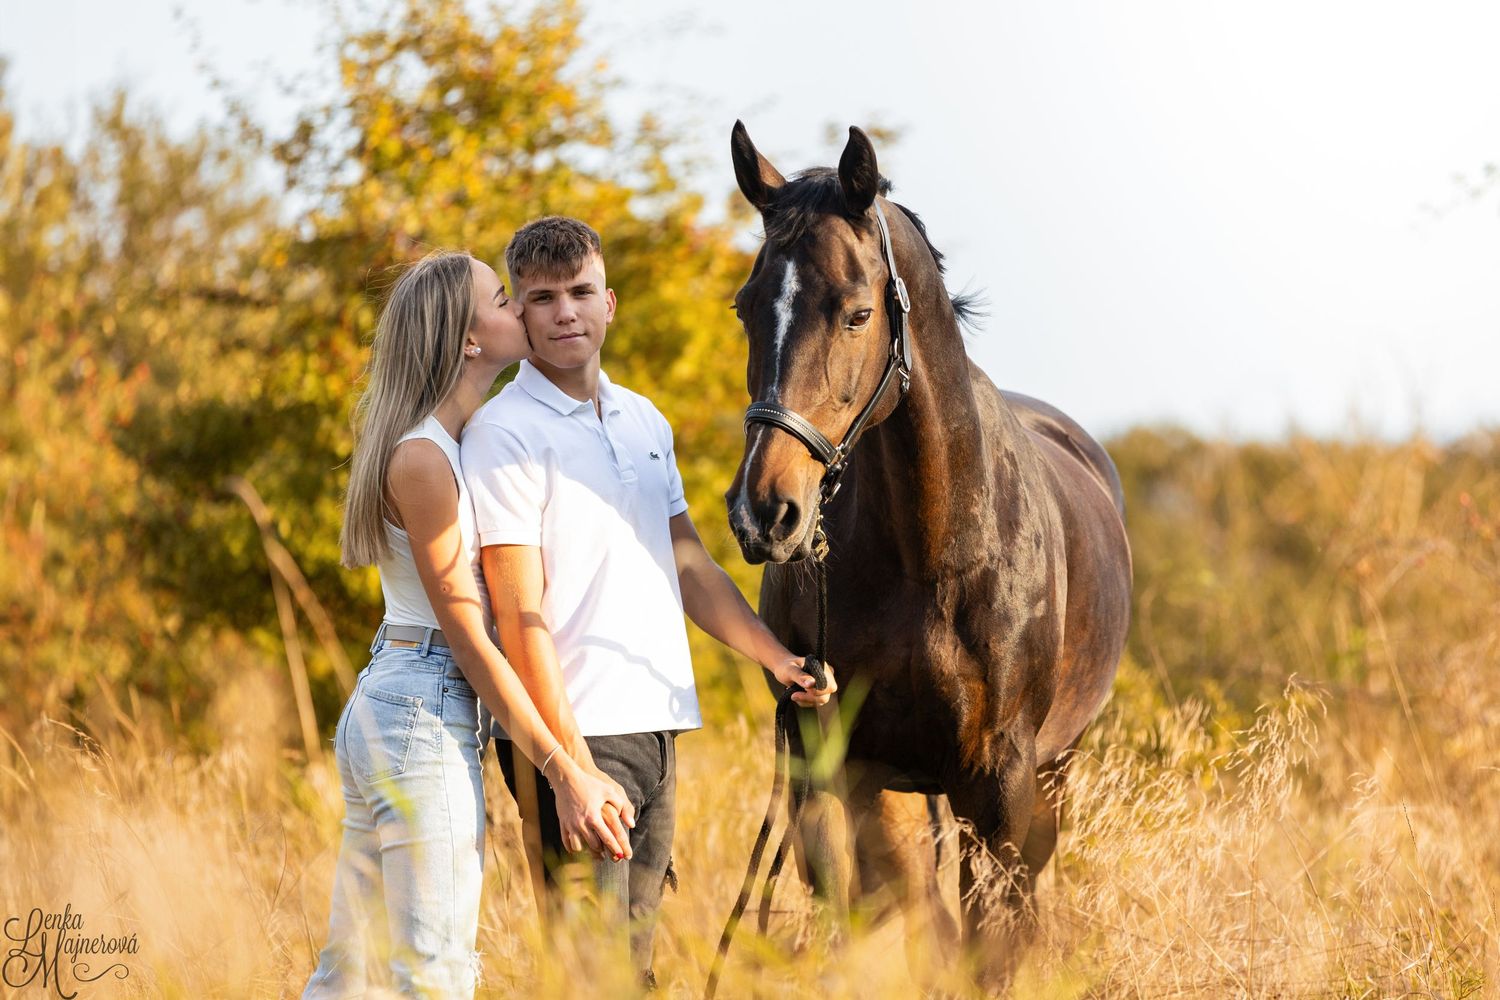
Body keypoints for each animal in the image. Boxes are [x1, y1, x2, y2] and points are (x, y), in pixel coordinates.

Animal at [723, 121, 1133, 987]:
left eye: (857, 313)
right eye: (746, 307)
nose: (765, 512)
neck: (931, 554)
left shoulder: (999, 784)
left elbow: (984, 939)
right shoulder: (839, 765)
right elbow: (881, 908)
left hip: (1055, 772)